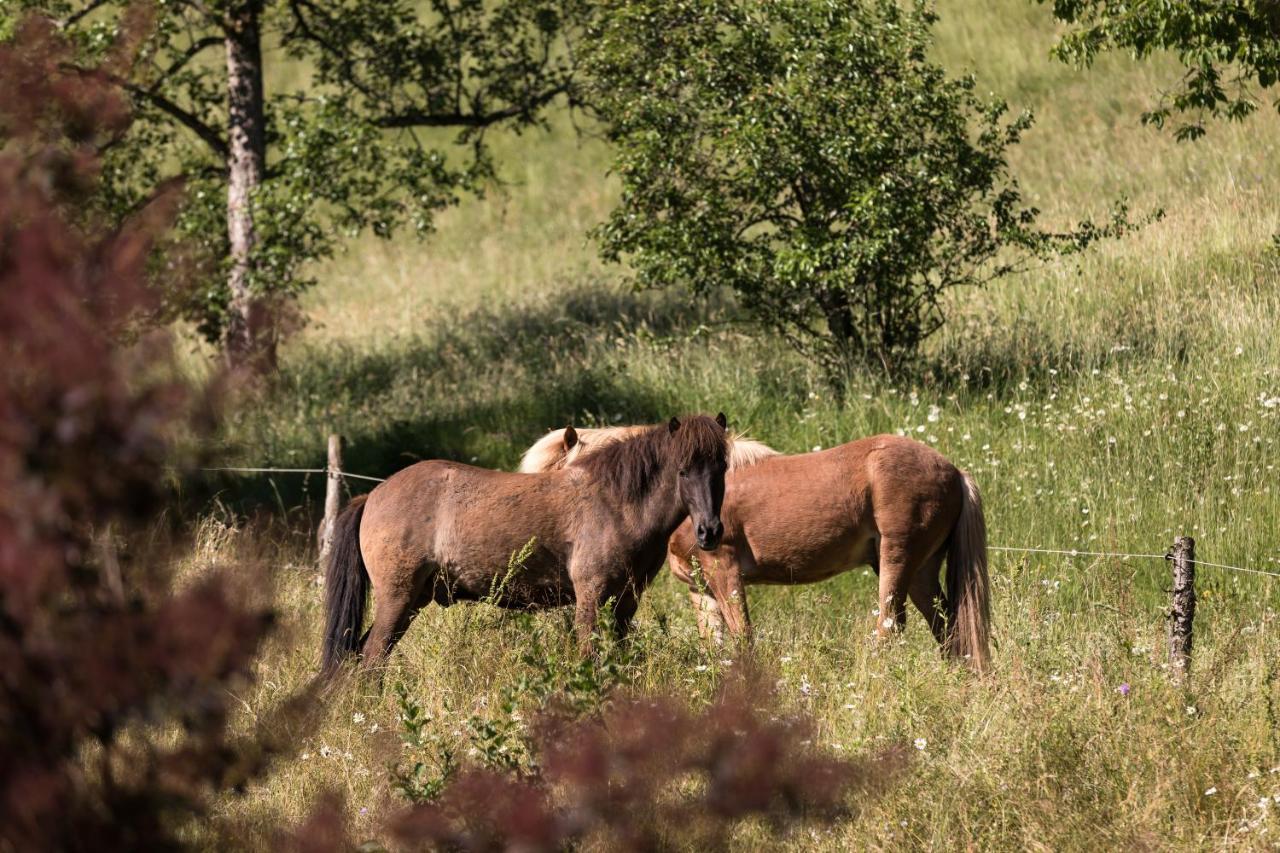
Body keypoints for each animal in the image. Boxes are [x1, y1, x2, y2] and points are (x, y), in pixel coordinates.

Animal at [320, 412, 732, 671]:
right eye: (683, 470)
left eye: (722, 468)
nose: (709, 531)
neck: (614, 503)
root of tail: (373, 495)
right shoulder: (591, 598)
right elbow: (590, 656)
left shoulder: (625, 603)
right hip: (397, 599)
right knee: (372, 657)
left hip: (411, 602)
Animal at [524, 425, 993, 666]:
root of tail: (954, 471)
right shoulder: (700, 590)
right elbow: (717, 648)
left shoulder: (725, 573)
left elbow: (743, 639)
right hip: (920, 571)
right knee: (949, 630)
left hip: (897, 561)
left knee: (891, 627)